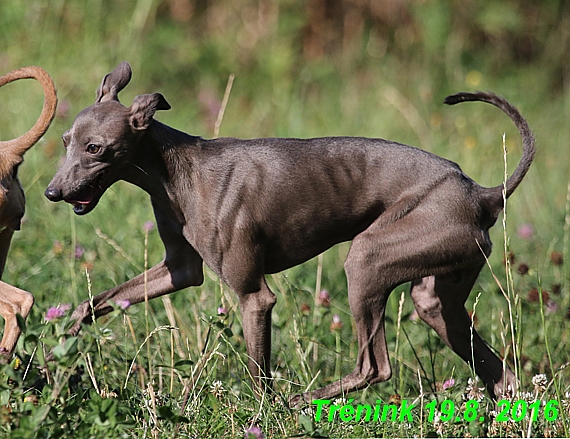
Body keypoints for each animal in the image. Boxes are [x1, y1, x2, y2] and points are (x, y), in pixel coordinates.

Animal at [44, 62, 532, 406]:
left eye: (96, 148)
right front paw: (60, 344)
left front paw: (264, 413)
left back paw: (302, 401)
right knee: (500, 374)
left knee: (375, 367)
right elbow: (98, 301)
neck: (177, 171)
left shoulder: (254, 297)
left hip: (368, 260)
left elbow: (259, 372)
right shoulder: (180, 269)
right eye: (66, 140)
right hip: (439, 297)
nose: (52, 192)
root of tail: (483, 192)